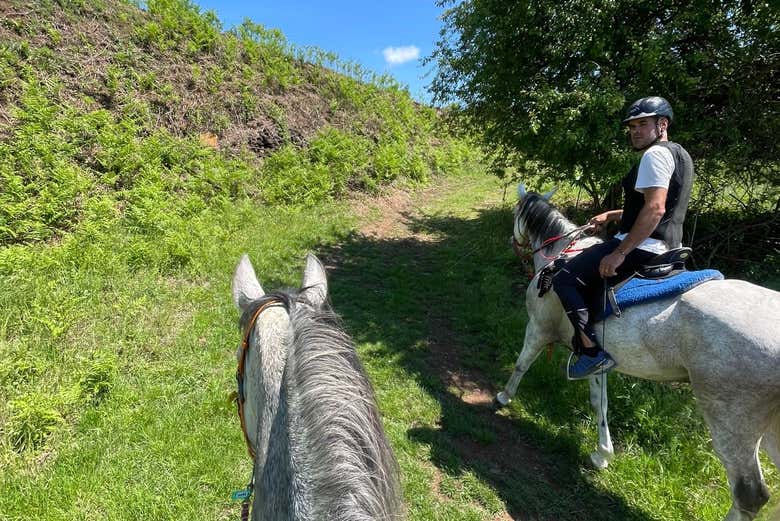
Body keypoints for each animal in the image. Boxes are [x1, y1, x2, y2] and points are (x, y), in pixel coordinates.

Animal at [496, 185, 780, 520]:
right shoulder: (597, 359)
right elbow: (600, 403)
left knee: (749, 494)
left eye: (516, 213)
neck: (561, 256)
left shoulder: (538, 328)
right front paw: (602, 454)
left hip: (731, 419)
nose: (512, 242)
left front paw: (503, 397)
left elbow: (521, 364)